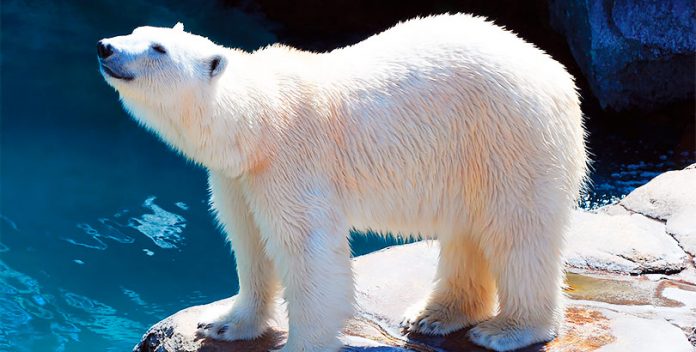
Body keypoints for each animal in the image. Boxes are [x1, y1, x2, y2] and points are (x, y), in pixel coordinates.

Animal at [98, 14, 588, 352]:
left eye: (158, 48)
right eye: (136, 29)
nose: (105, 46)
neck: (258, 121)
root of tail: (558, 75)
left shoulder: (291, 163)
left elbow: (308, 253)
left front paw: (302, 345)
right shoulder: (239, 177)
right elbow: (250, 242)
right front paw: (222, 323)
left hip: (510, 137)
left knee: (517, 232)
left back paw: (507, 330)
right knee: (467, 231)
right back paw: (432, 317)